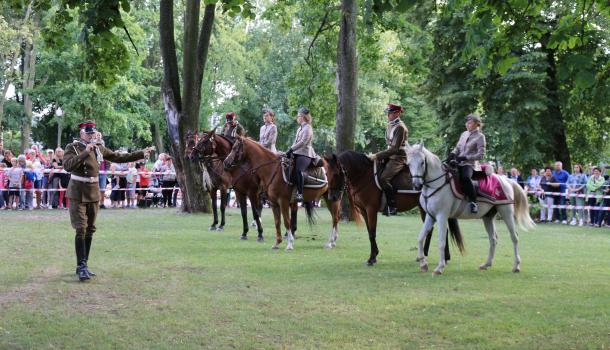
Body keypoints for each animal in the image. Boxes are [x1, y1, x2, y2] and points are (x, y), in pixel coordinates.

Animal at [324, 150, 456, 266]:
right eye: (326, 174)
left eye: (335, 174)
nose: (331, 197)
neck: (364, 175)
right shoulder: (363, 211)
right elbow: (369, 232)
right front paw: (374, 254)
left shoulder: (371, 210)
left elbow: (372, 233)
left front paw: (372, 258)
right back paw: (428, 255)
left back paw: (441, 256)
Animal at [408, 142, 532, 274]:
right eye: (408, 163)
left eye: (422, 162)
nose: (417, 185)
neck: (438, 183)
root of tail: (505, 179)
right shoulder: (430, 216)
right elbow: (420, 238)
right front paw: (423, 264)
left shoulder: (442, 217)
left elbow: (441, 242)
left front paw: (439, 267)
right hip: (488, 217)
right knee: (493, 239)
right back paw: (486, 264)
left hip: (506, 212)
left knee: (514, 237)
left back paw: (516, 266)